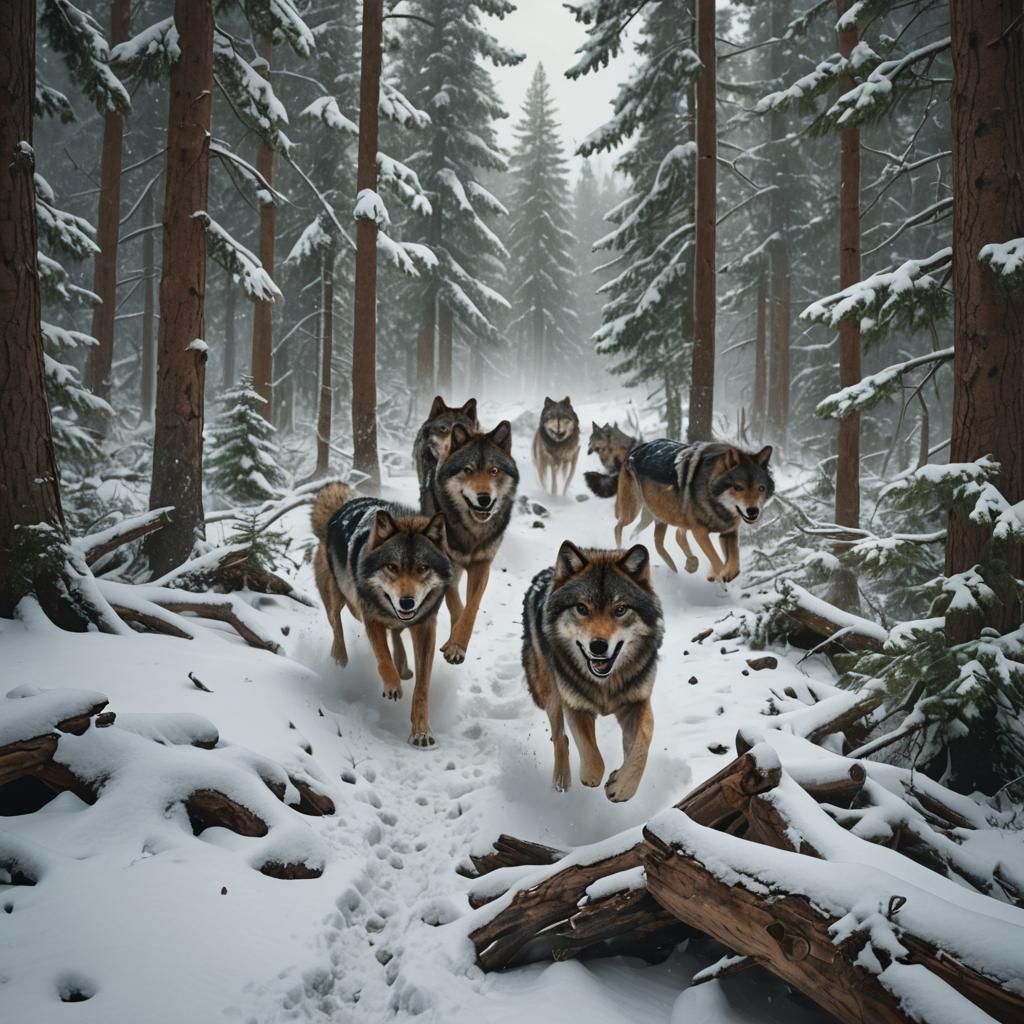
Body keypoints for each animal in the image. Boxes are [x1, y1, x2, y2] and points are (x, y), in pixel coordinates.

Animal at [312, 483, 455, 747]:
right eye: (392, 567)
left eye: (423, 568)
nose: (407, 602)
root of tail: (342, 505)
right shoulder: (371, 618)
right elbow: (382, 657)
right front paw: (392, 687)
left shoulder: (425, 625)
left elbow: (421, 687)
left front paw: (421, 732)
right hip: (341, 598)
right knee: (336, 625)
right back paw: (340, 659)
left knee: (396, 634)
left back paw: (404, 667)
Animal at [426, 420, 519, 664]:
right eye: (468, 470)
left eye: (494, 470)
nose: (484, 499)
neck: (472, 530)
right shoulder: (447, 563)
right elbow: (456, 605)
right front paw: (453, 643)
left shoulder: (481, 565)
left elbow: (471, 607)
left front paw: (457, 644)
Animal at [522, 541, 664, 802]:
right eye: (581, 608)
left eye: (620, 610)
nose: (598, 646)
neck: (605, 685)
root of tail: (547, 574)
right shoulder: (575, 704)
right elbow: (591, 753)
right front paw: (590, 777)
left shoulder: (637, 702)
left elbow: (642, 744)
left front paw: (622, 786)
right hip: (552, 693)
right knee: (560, 738)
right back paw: (561, 782)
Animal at [590, 439, 774, 582]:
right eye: (738, 487)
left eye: (761, 488)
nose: (753, 511)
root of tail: (637, 448)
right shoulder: (700, 532)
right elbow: (717, 560)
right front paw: (715, 575)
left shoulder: (729, 532)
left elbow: (734, 565)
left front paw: (720, 574)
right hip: (635, 510)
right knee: (619, 527)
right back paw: (622, 550)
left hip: (660, 517)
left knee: (661, 541)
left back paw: (680, 565)